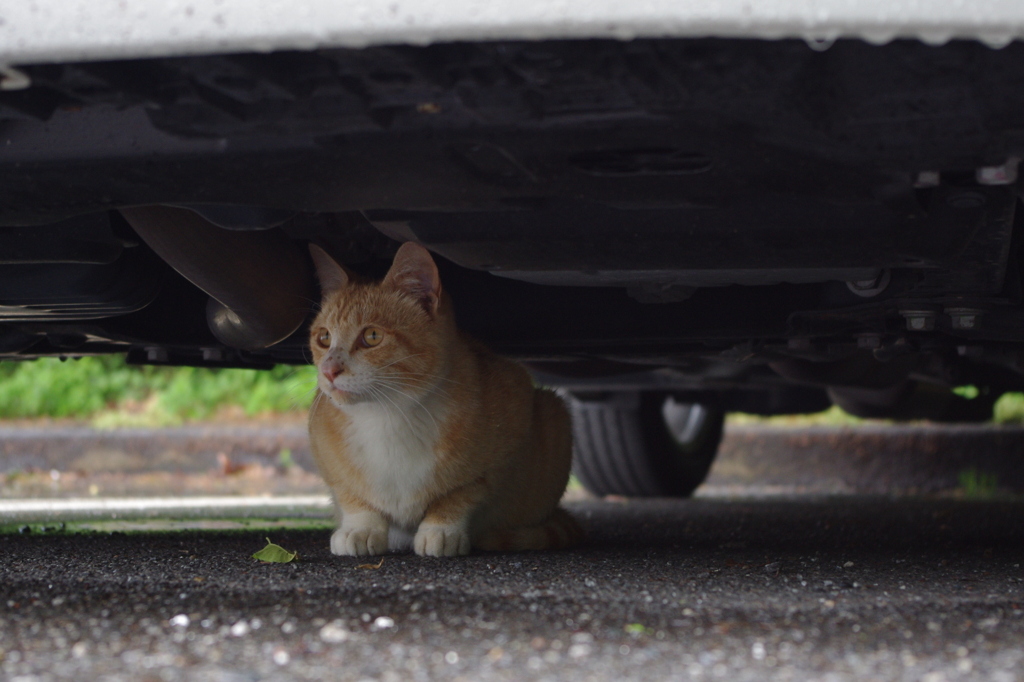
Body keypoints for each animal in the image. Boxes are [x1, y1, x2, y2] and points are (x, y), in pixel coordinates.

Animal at [303, 241, 581, 557]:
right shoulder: (326, 458)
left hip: (554, 411)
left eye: (372, 336)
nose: (328, 370)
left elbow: (459, 495)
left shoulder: (504, 438)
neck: (387, 415)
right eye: (324, 338)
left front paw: (441, 529)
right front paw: (361, 528)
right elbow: (352, 496)